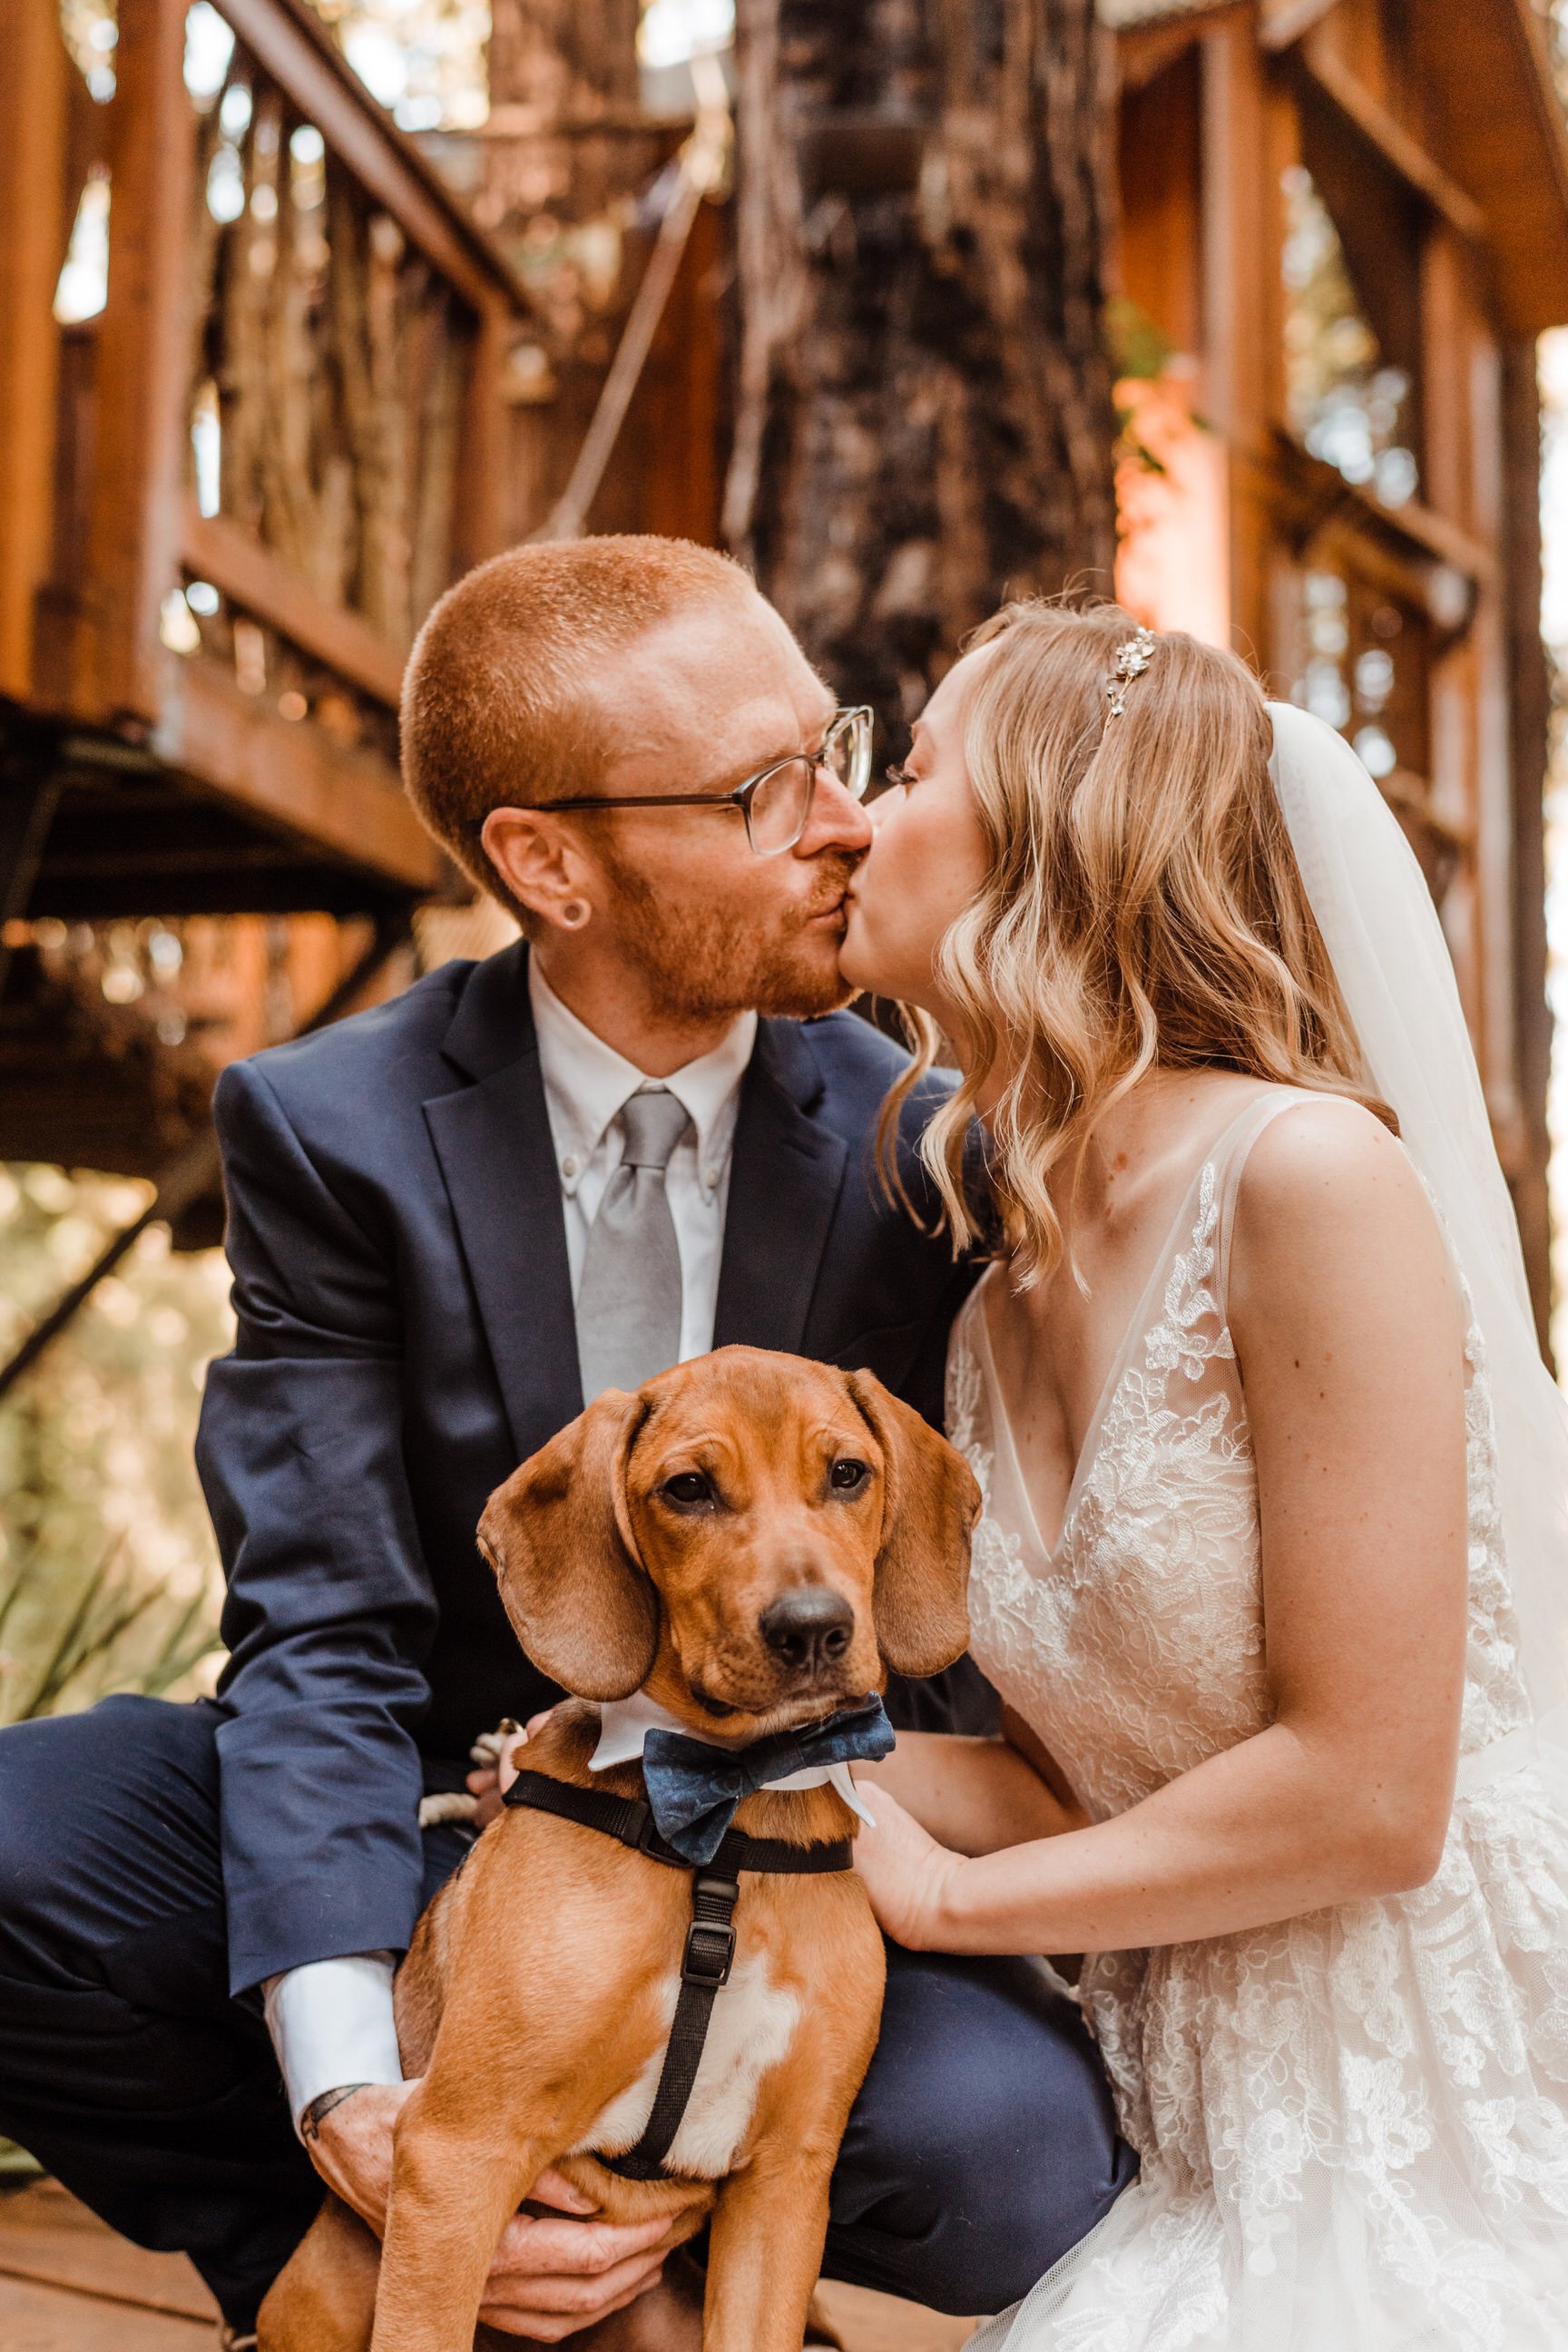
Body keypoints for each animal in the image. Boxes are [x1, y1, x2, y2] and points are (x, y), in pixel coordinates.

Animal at [257, 1345, 982, 2352]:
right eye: (688, 1489)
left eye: (848, 1474)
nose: (812, 1628)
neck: (727, 1825)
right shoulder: (456, 2156)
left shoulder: (786, 2185)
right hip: (322, 2292)